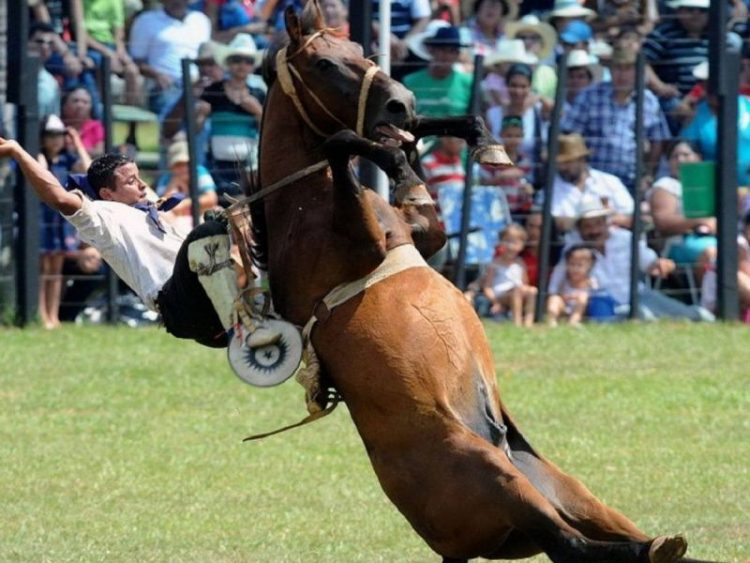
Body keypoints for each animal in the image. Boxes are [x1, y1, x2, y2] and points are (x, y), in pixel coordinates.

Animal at [251, 5, 692, 563]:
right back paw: (651, 549)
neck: (298, 203)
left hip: (566, 490)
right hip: (495, 476)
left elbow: (408, 176)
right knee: (571, 545)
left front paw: (475, 140)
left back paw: (660, 543)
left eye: (361, 52)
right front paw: (400, 152)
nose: (401, 101)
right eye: (325, 63)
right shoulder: (358, 246)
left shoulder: (426, 237)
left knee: (596, 533)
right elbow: (344, 144)